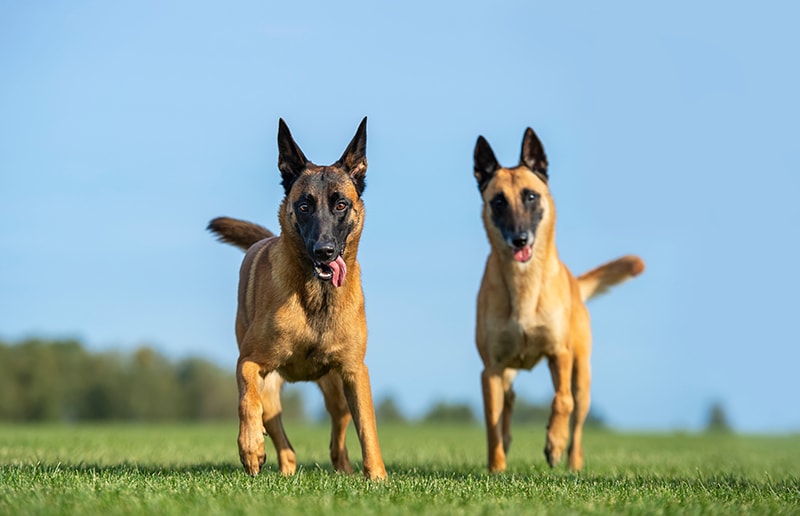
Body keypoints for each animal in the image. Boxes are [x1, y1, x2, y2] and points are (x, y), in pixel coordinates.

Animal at [208, 117, 386, 480]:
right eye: (304, 206)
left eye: (341, 205)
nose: (324, 251)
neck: (315, 298)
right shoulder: (249, 362)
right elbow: (246, 401)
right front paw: (250, 448)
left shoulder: (354, 373)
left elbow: (367, 427)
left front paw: (377, 476)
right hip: (272, 389)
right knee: (278, 432)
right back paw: (280, 465)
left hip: (336, 391)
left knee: (338, 436)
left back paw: (343, 470)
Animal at [472, 128, 648, 472]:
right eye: (498, 202)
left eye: (530, 196)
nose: (520, 239)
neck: (524, 286)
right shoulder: (491, 370)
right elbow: (492, 422)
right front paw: (496, 468)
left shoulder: (560, 354)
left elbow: (561, 401)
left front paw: (554, 443)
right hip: (508, 373)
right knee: (509, 402)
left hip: (582, 375)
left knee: (576, 415)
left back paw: (573, 462)